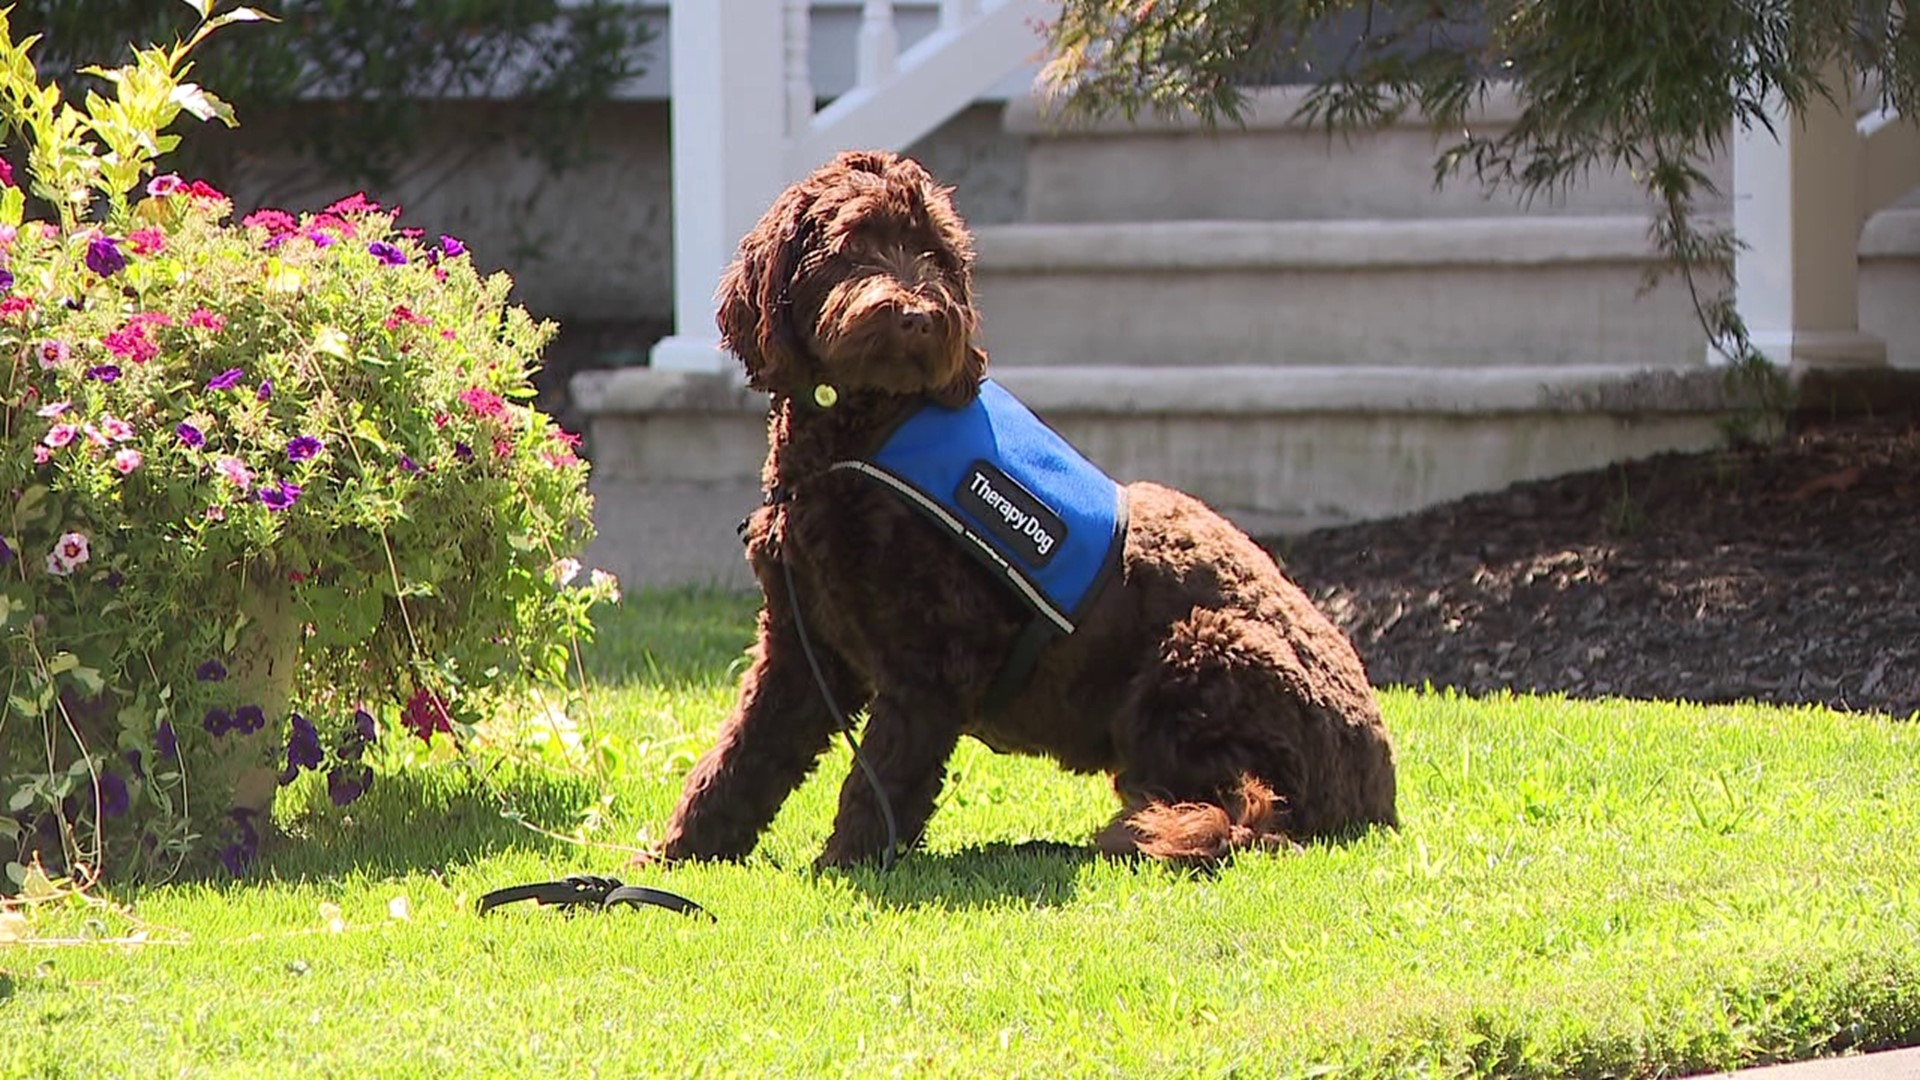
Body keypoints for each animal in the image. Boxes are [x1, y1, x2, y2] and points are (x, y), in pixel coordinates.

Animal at [660, 147, 1397, 864]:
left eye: (936, 254)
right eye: (853, 245)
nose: (918, 317)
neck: (863, 433)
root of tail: (1379, 799)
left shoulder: (935, 661)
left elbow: (884, 778)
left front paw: (847, 865)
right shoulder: (799, 646)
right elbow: (741, 759)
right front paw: (675, 856)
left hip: (1196, 650)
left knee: (1234, 810)